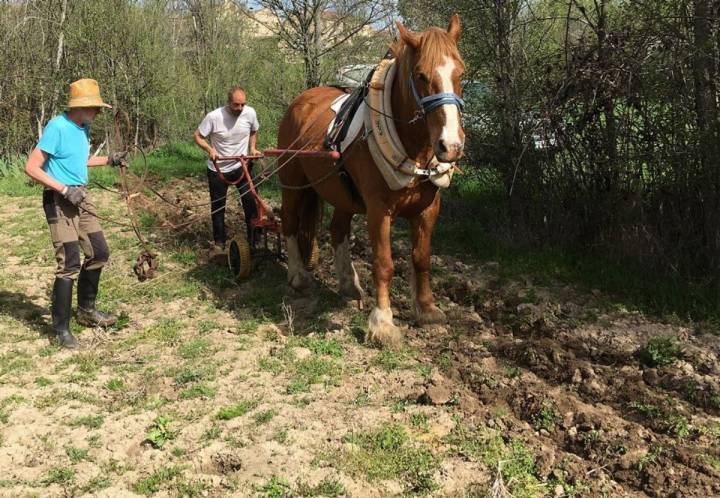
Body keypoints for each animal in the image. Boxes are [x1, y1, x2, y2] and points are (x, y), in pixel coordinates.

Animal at [276, 16, 466, 350]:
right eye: (421, 76)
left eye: (461, 72)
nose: (451, 146)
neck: (413, 151)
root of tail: (300, 100)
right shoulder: (379, 211)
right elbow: (384, 263)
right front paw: (382, 323)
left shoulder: (428, 208)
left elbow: (421, 258)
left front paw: (427, 309)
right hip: (292, 184)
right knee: (289, 221)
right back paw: (298, 276)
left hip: (341, 191)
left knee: (337, 229)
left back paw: (348, 284)